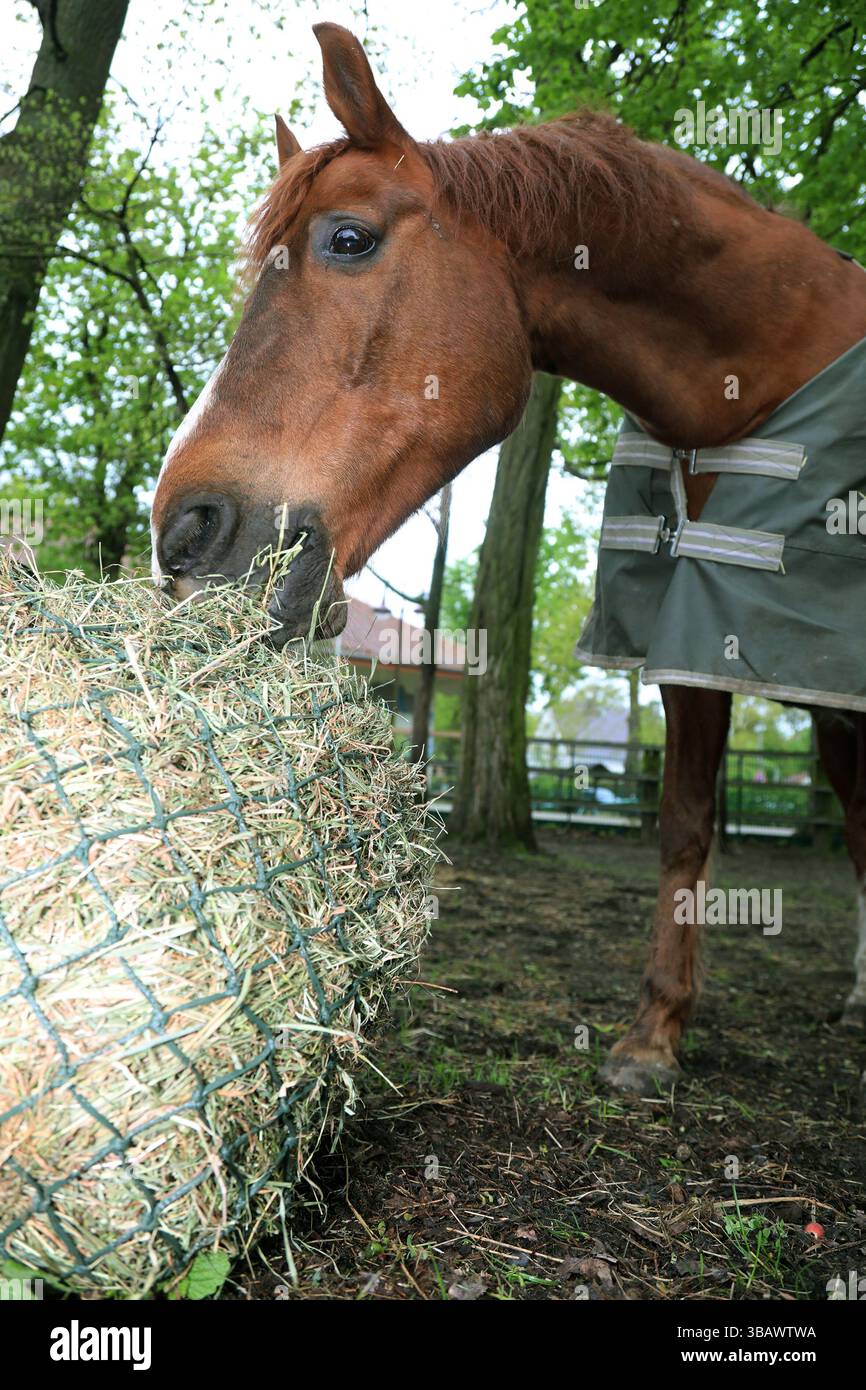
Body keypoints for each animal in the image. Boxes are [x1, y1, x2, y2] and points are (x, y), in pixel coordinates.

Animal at [150, 22, 866, 1095]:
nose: (183, 532)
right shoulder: (704, 636)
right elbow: (687, 821)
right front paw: (653, 1036)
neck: (774, 361)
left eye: (348, 238)